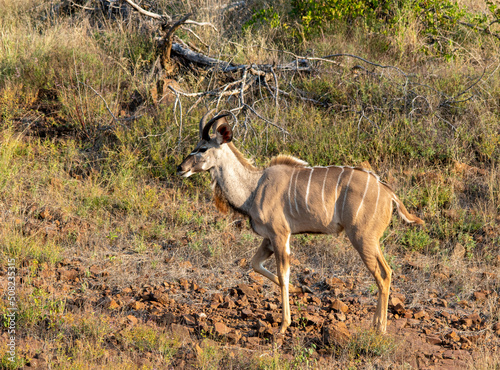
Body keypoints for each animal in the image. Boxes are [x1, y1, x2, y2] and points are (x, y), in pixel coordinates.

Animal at [178, 111, 424, 334]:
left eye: (202, 148)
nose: (181, 168)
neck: (254, 187)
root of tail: (389, 193)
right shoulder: (269, 239)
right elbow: (256, 265)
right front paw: (300, 290)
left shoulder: (280, 235)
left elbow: (282, 275)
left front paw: (283, 325)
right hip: (371, 240)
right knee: (387, 272)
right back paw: (375, 324)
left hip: (362, 238)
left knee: (382, 276)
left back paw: (380, 328)